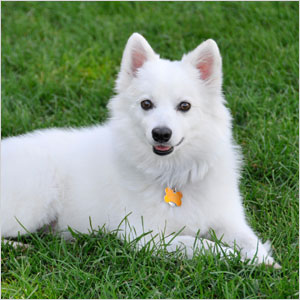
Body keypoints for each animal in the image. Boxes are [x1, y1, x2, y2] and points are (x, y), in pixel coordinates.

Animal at [1, 32, 280, 268]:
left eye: (185, 106)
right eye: (146, 104)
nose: (161, 133)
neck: (173, 174)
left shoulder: (229, 220)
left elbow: (248, 239)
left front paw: (261, 258)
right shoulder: (149, 237)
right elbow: (204, 245)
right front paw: (240, 258)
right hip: (31, 208)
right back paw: (18, 247)